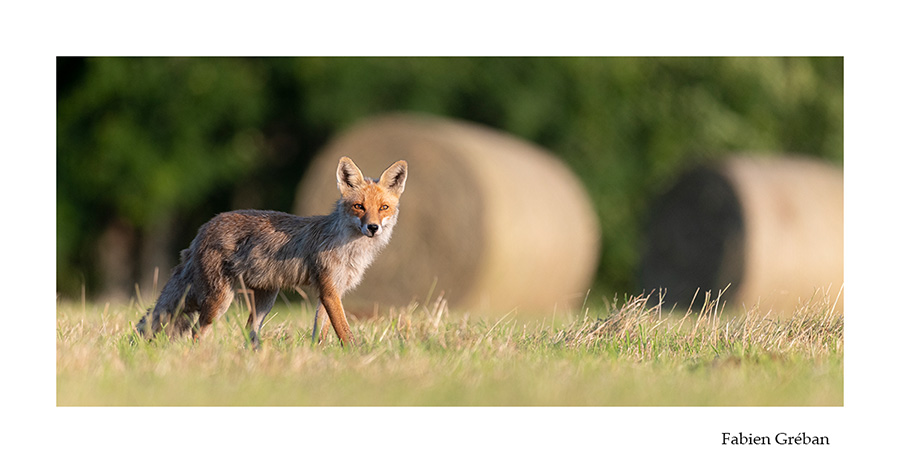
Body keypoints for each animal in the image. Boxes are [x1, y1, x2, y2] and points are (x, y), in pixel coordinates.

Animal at [135, 156, 408, 347]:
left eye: (383, 207)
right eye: (359, 206)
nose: (372, 228)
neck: (350, 247)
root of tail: (204, 227)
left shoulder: (332, 291)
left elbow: (321, 332)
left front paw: (317, 356)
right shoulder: (329, 290)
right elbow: (344, 331)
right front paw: (355, 354)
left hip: (266, 298)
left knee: (248, 331)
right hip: (220, 301)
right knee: (195, 332)